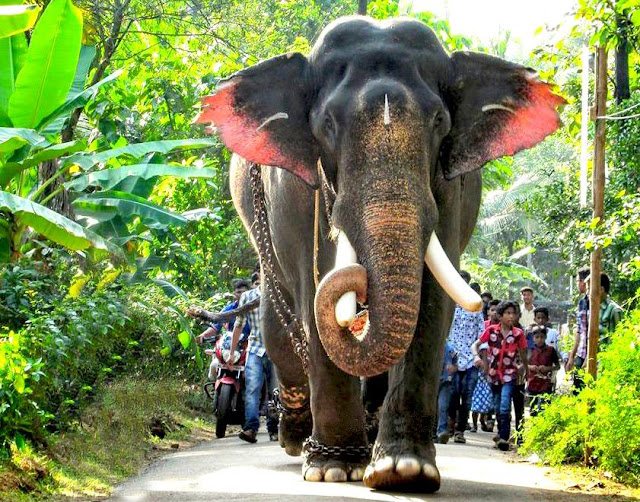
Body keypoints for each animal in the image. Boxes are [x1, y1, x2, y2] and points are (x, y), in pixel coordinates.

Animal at [198, 14, 564, 490]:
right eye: (327, 124)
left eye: (440, 121)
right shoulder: (296, 197)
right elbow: (313, 294)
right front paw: (333, 468)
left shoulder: (450, 189)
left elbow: (433, 303)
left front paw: (403, 470)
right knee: (277, 325)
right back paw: (297, 437)